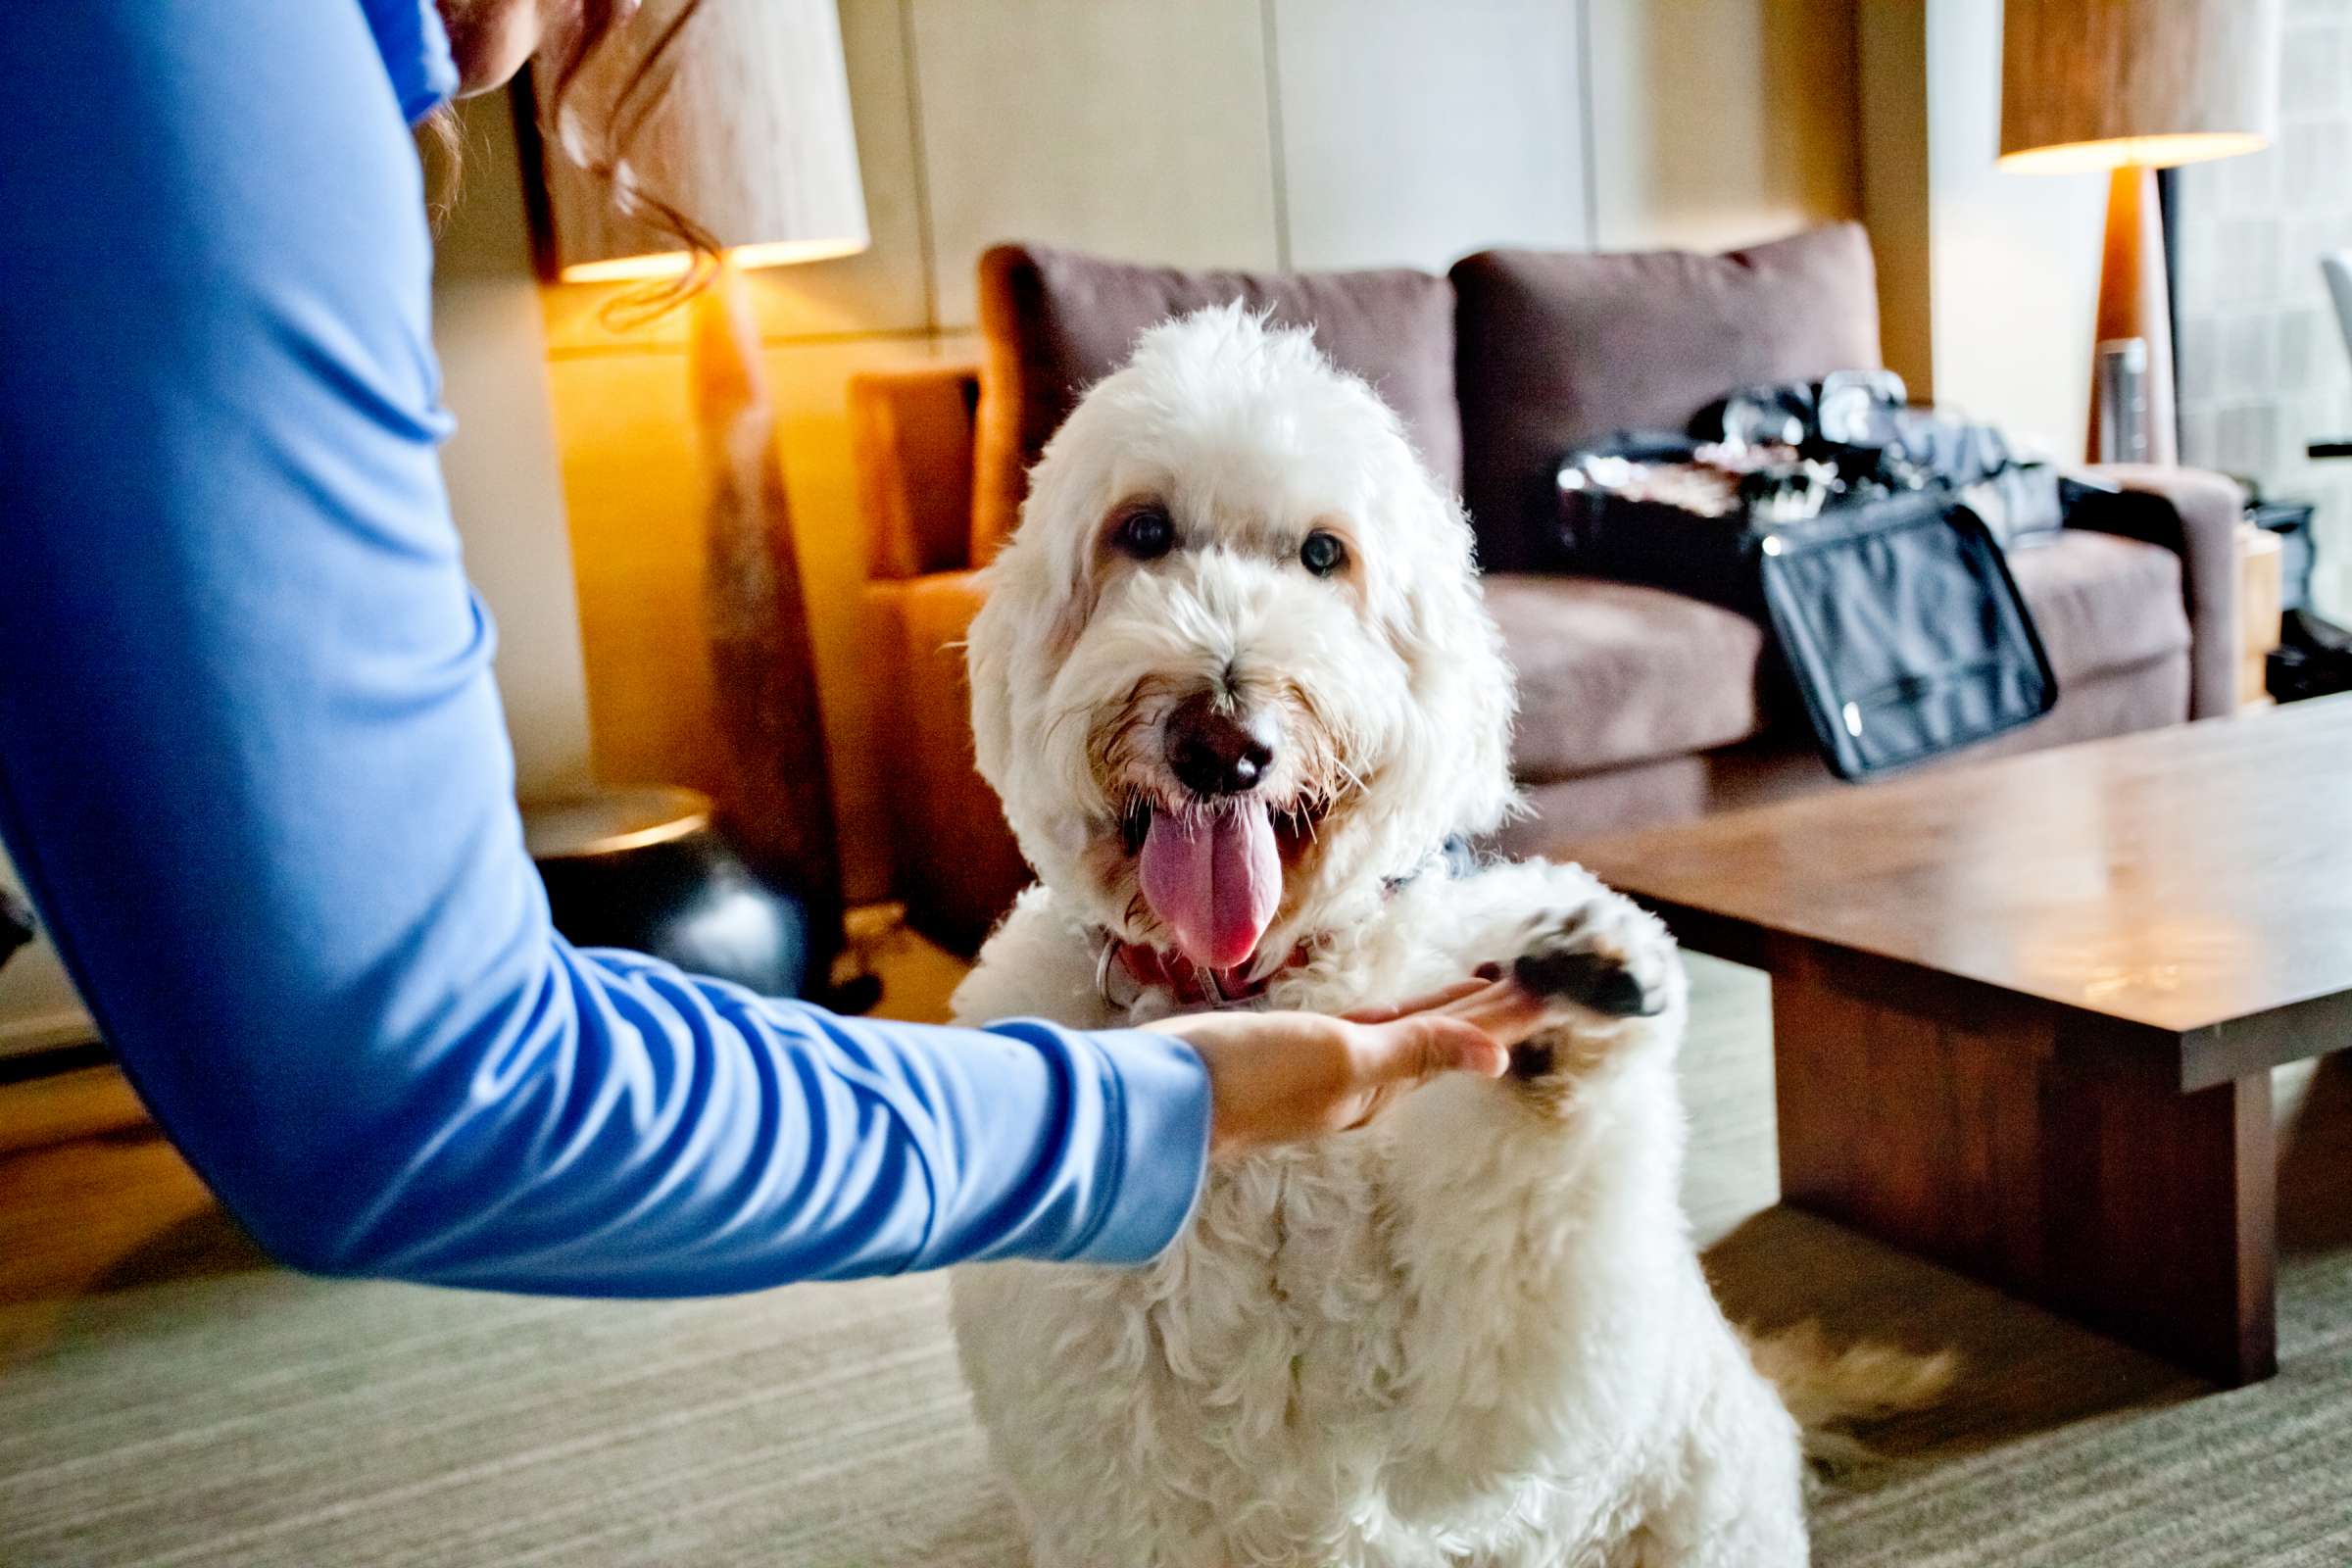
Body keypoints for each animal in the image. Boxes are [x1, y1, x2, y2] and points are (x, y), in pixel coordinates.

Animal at [945, 305, 1900, 1568]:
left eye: (1322, 554)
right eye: (1141, 531)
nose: (1222, 740)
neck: (1244, 982)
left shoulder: (1488, 1405)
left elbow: (1521, 1304)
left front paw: (1566, 1021)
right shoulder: (1108, 1455)